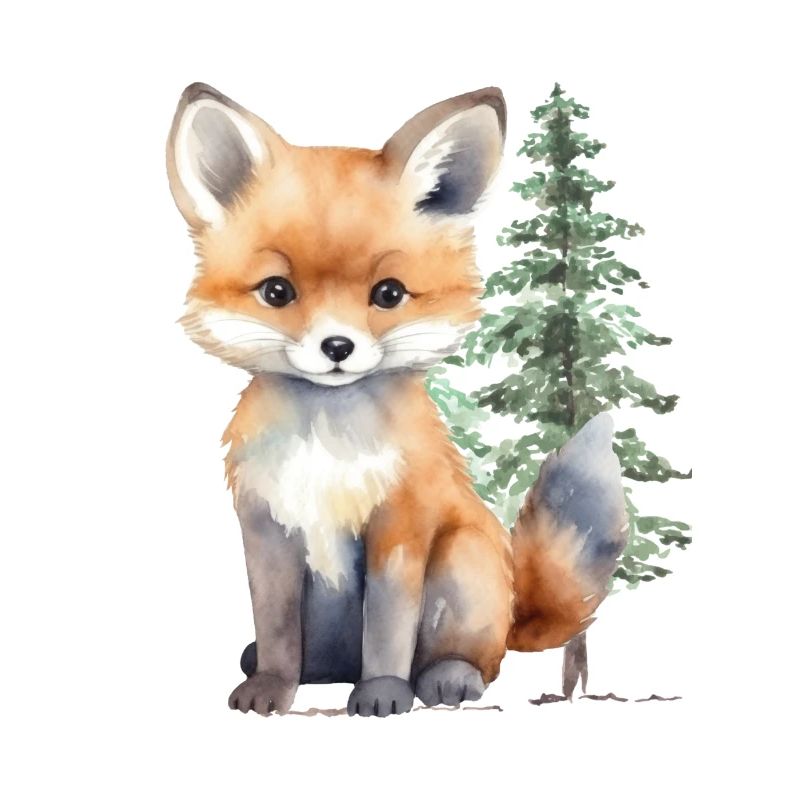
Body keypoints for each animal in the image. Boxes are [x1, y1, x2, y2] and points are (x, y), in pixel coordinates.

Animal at [166, 82, 628, 717]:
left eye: (388, 294)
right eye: (277, 291)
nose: (337, 346)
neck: (326, 447)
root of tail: (514, 607)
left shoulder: (400, 526)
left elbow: (387, 627)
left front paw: (383, 692)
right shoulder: (267, 530)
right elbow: (277, 625)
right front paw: (271, 687)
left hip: (461, 562)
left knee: (479, 660)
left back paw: (446, 679)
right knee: (315, 658)